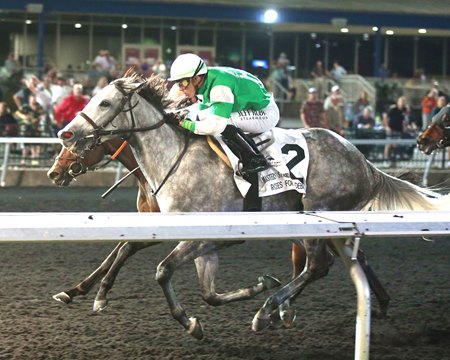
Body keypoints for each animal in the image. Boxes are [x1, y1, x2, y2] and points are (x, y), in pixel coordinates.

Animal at [59, 72, 450, 338]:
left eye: (104, 103)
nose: (66, 134)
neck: (175, 159)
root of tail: (364, 162)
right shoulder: (194, 237)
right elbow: (206, 291)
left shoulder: (201, 235)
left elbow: (162, 270)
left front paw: (188, 321)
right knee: (322, 264)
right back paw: (285, 307)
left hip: (319, 214)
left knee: (317, 265)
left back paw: (270, 311)